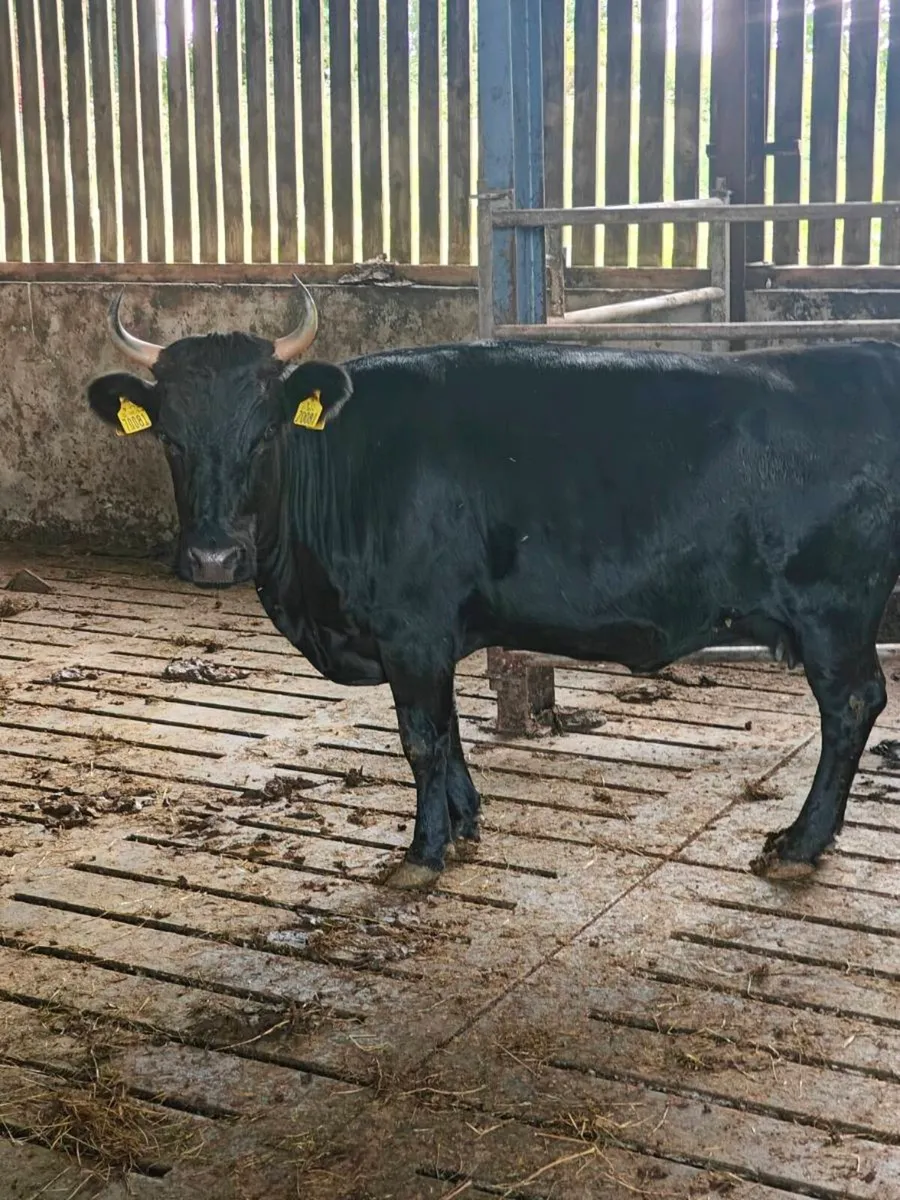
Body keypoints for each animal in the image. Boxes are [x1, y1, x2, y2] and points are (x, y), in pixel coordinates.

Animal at [85, 281, 900, 890]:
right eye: (169, 438)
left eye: (264, 434)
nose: (214, 558)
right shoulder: (433, 634)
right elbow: (447, 730)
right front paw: (464, 822)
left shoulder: (411, 628)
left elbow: (420, 738)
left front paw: (421, 854)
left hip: (834, 609)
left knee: (853, 705)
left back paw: (799, 843)